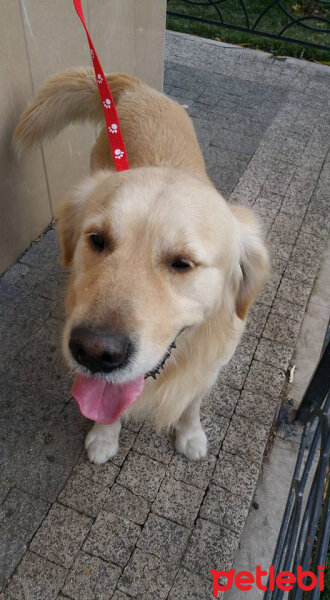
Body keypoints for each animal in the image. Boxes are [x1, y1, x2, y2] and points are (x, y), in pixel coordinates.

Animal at [12, 69, 268, 464]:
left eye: (182, 263)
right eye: (97, 240)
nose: (94, 352)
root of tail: (138, 88)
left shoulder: (211, 367)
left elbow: (192, 404)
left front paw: (191, 434)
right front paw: (104, 437)